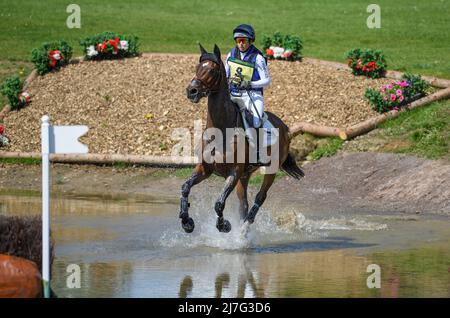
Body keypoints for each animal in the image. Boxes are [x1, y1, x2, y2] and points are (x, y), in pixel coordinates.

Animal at [179, 44, 302, 234]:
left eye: (212, 70)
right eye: (197, 67)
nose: (191, 91)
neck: (221, 130)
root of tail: (285, 127)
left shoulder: (234, 172)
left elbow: (219, 203)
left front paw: (224, 225)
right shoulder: (205, 169)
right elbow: (185, 188)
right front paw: (187, 222)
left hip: (271, 170)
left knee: (260, 197)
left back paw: (244, 229)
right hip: (245, 176)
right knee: (243, 203)